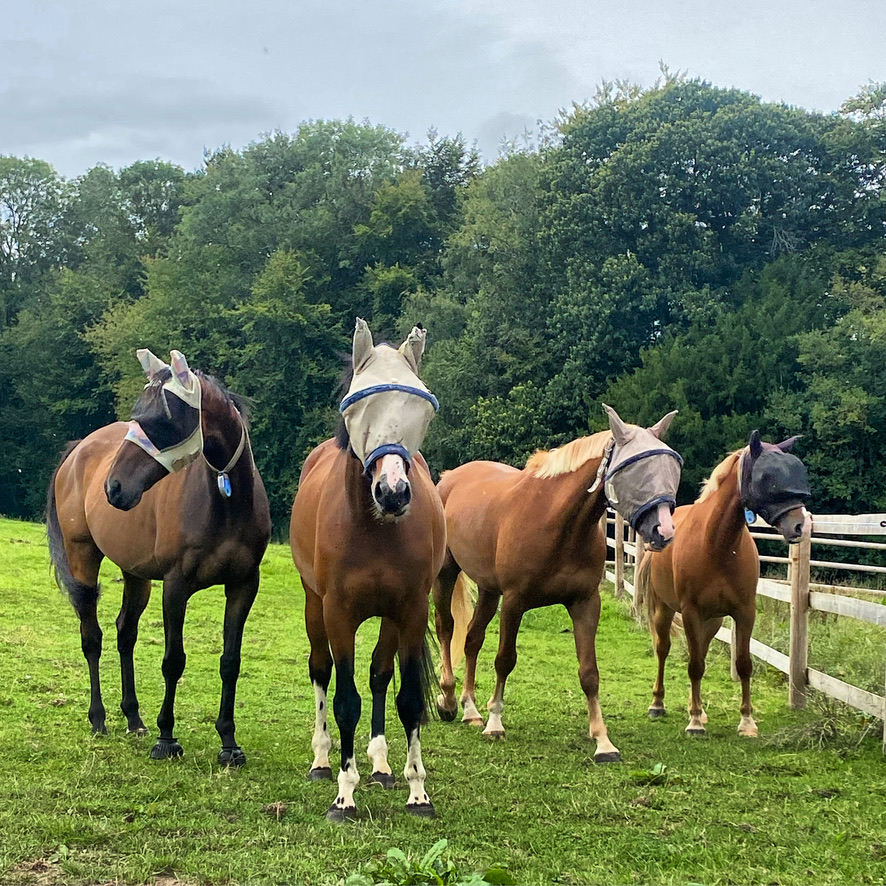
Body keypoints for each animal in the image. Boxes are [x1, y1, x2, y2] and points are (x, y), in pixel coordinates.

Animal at [46, 349, 271, 766]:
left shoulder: (243, 585)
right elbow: (173, 661)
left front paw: (229, 742)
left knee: (125, 634)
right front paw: (167, 738)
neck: (225, 501)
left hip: (136, 575)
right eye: (137, 415)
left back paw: (134, 718)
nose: (113, 488)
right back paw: (99, 719)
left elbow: (230, 662)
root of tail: (80, 448)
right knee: (92, 637)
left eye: (162, 421)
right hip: (83, 559)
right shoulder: (176, 586)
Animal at [290, 320, 446, 821]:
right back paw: (322, 761)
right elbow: (344, 701)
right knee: (320, 671)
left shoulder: (410, 612)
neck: (375, 529)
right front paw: (344, 796)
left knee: (379, 674)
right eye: (359, 402)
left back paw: (381, 765)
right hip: (313, 606)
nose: (393, 491)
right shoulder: (338, 613)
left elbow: (406, 698)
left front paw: (418, 793)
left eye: (421, 403)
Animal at [433, 404, 683, 762]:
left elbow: (589, 673)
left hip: (489, 591)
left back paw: (470, 710)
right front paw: (495, 723)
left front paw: (603, 741)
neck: (558, 522)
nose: (663, 532)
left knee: (471, 639)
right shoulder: (514, 602)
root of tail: (448, 478)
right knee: (446, 628)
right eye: (632, 467)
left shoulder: (585, 603)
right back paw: (449, 699)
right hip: (446, 574)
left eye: (673, 465)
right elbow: (504, 660)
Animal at [635, 430, 811, 737]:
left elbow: (743, 664)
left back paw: (699, 709)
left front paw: (747, 721)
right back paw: (659, 704)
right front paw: (694, 722)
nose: (800, 526)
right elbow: (694, 665)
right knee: (663, 649)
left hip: (713, 620)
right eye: (768, 479)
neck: (717, 546)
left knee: (701, 651)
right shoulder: (691, 612)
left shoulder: (744, 613)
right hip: (664, 610)